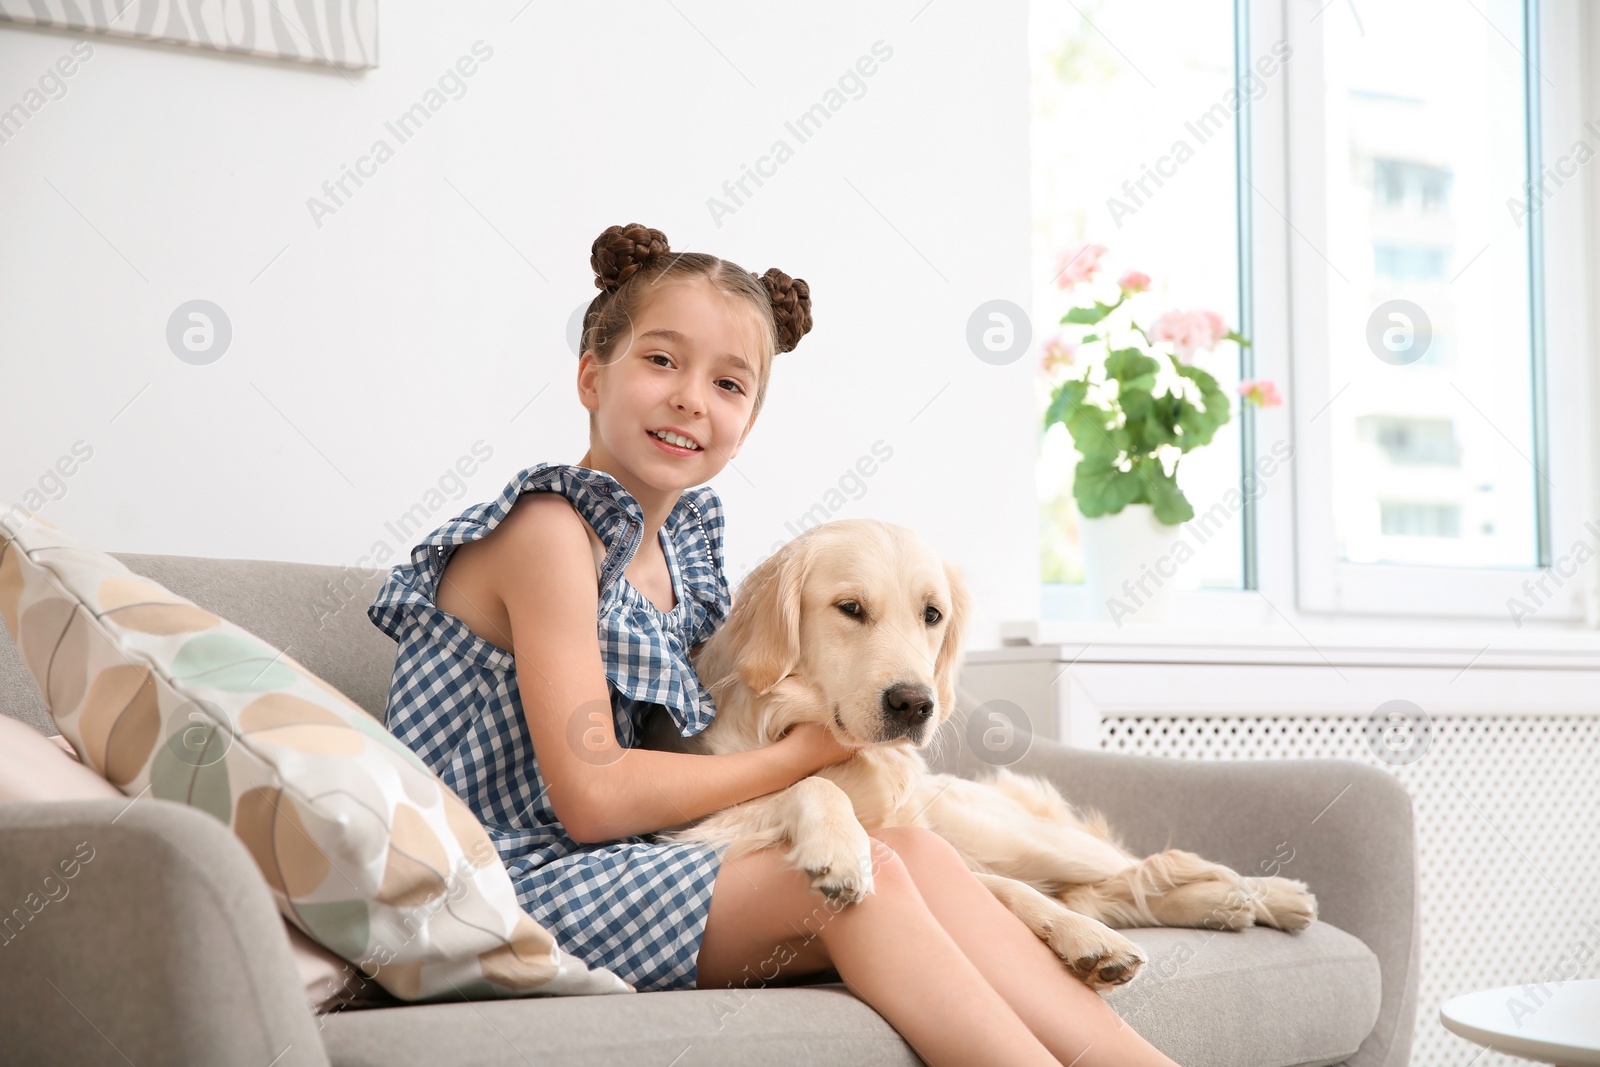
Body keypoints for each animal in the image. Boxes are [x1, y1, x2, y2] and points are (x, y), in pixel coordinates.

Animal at [643, 521, 1318, 991]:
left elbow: (1014, 892)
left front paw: (1083, 938)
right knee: (1122, 883)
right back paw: (1228, 904)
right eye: (850, 609)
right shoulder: (693, 827)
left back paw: (1268, 895)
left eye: (932, 614)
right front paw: (839, 846)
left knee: (1144, 864)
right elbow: (813, 786)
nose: (914, 703)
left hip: (1026, 838)